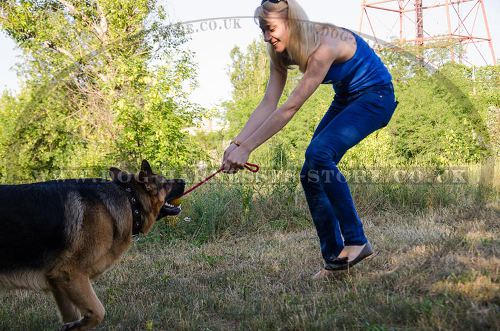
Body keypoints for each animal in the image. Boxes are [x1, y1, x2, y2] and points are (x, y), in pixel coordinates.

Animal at [0, 160, 186, 330]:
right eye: (166, 182)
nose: (184, 181)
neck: (129, 199)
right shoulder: (72, 274)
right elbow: (98, 312)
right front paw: (79, 324)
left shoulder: (57, 280)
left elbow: (71, 315)